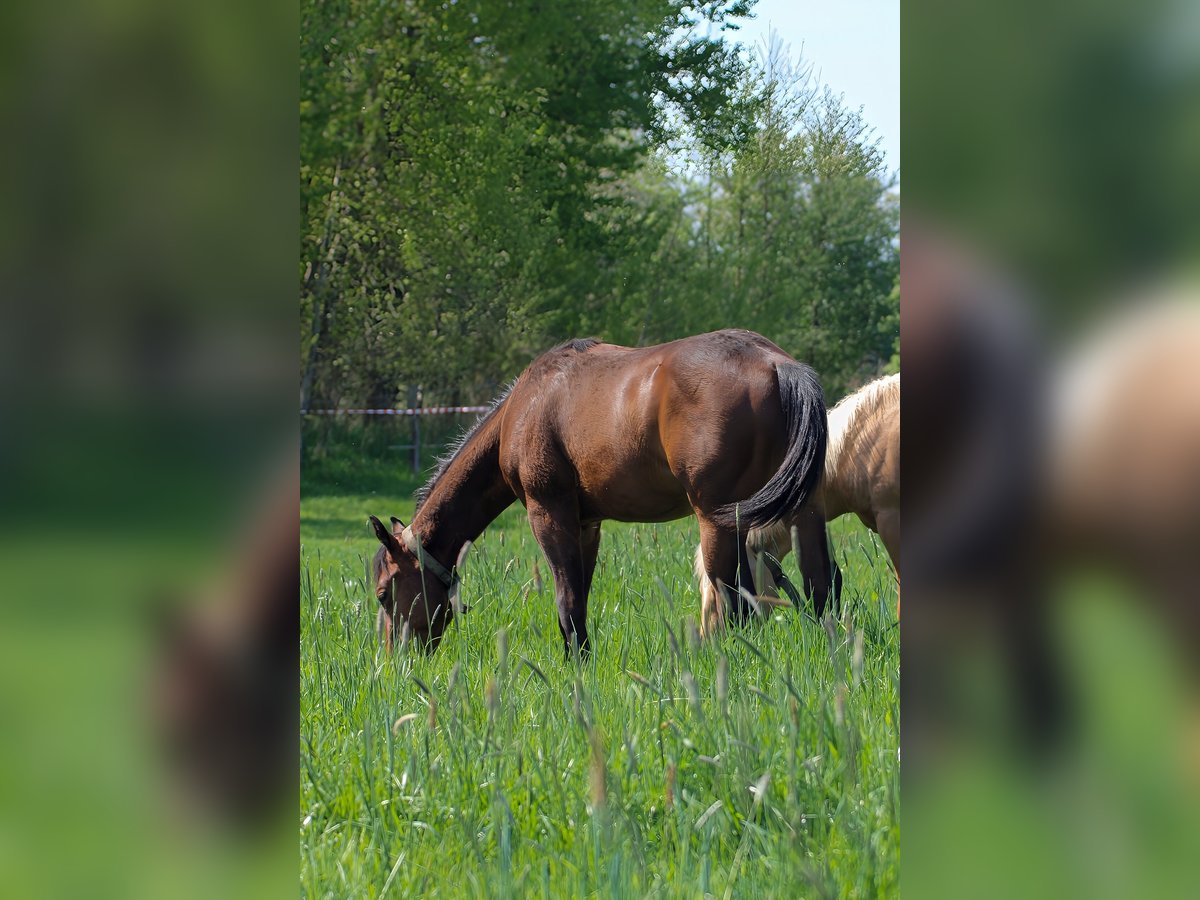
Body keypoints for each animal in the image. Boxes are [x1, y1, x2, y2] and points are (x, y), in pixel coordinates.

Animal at [369, 329, 837, 656]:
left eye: (384, 593)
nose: (396, 658)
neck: (525, 408)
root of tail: (776, 364)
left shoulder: (549, 514)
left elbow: (568, 599)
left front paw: (576, 665)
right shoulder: (586, 524)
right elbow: (581, 593)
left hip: (718, 522)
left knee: (733, 601)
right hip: (803, 511)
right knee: (821, 583)